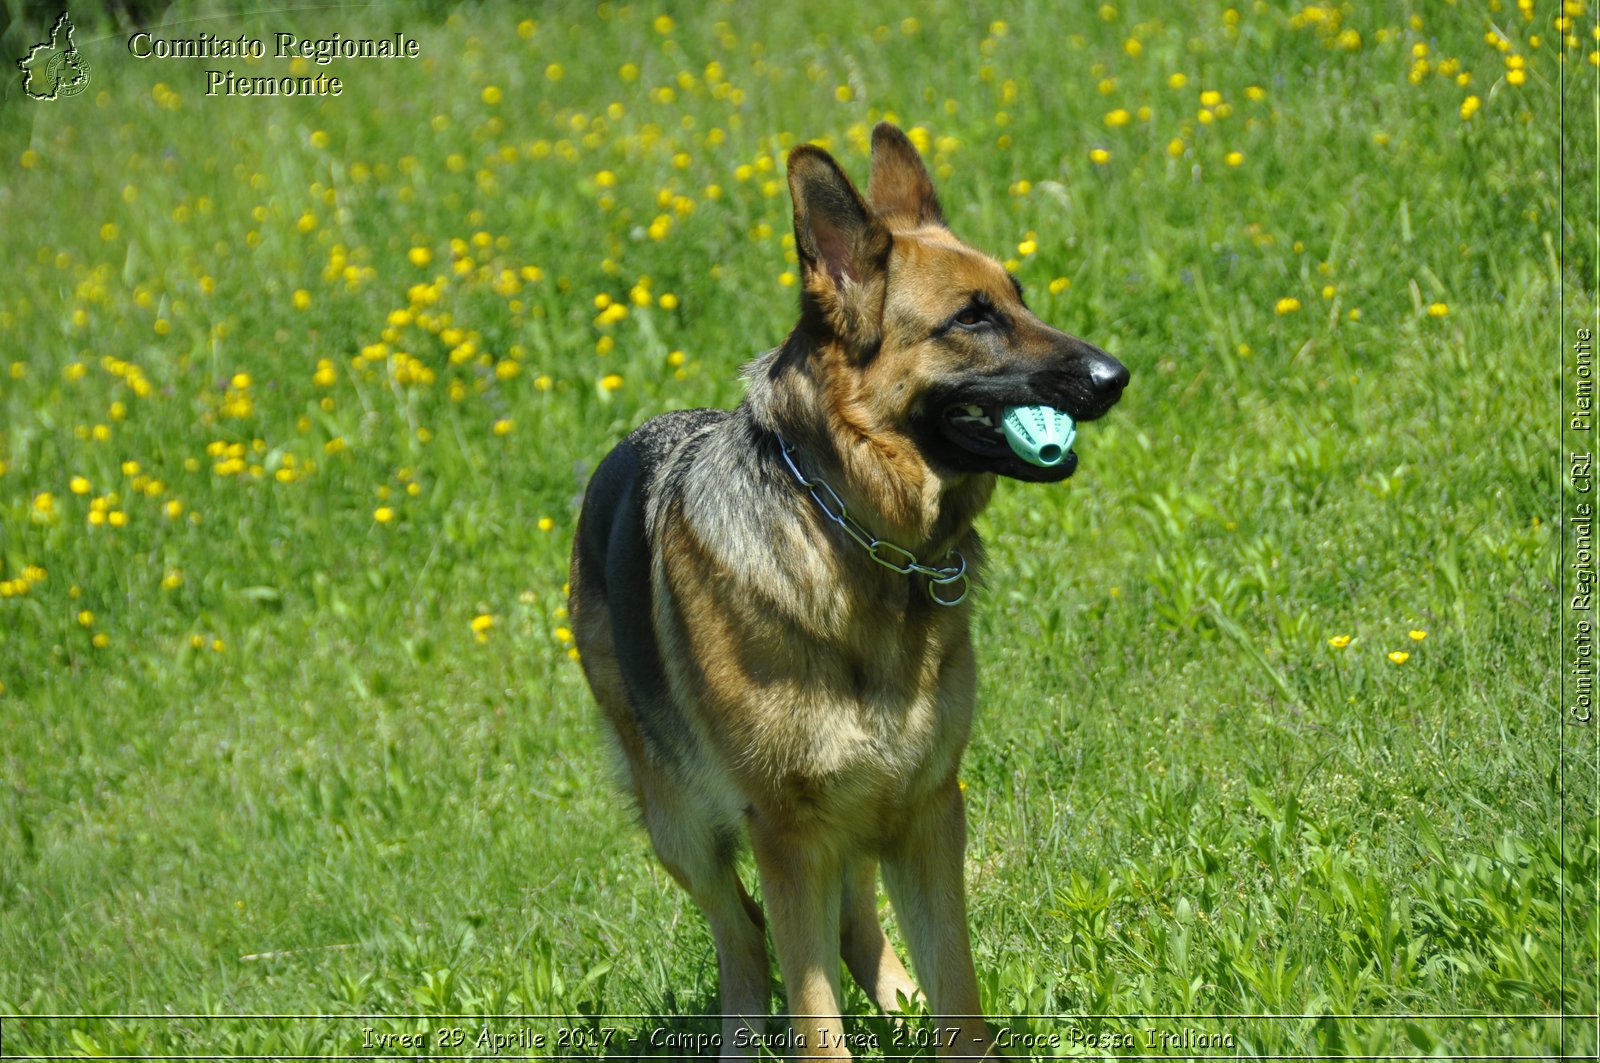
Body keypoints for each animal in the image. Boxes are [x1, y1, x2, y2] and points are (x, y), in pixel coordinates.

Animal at [569, 122, 1132, 1056]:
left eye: (1018, 297)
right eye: (971, 318)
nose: (1115, 376)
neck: (853, 539)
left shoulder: (928, 810)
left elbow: (958, 993)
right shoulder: (790, 835)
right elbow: (814, 1015)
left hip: (863, 813)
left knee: (851, 924)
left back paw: (896, 1002)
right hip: (682, 825)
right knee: (743, 934)